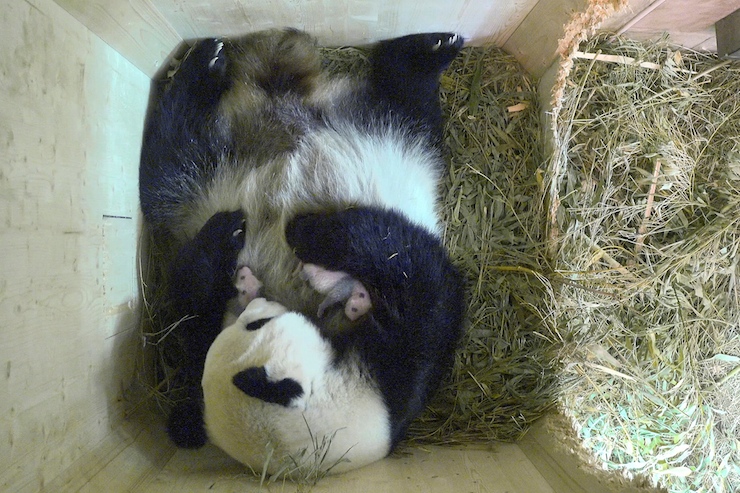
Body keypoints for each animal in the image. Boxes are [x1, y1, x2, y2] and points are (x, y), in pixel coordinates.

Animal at [139, 28, 467, 470]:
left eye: (257, 324)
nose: (256, 300)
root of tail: (284, 105)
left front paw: (299, 231)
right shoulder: (395, 370)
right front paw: (247, 235)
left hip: (387, 137)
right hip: (206, 179)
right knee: (169, 155)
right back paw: (205, 66)